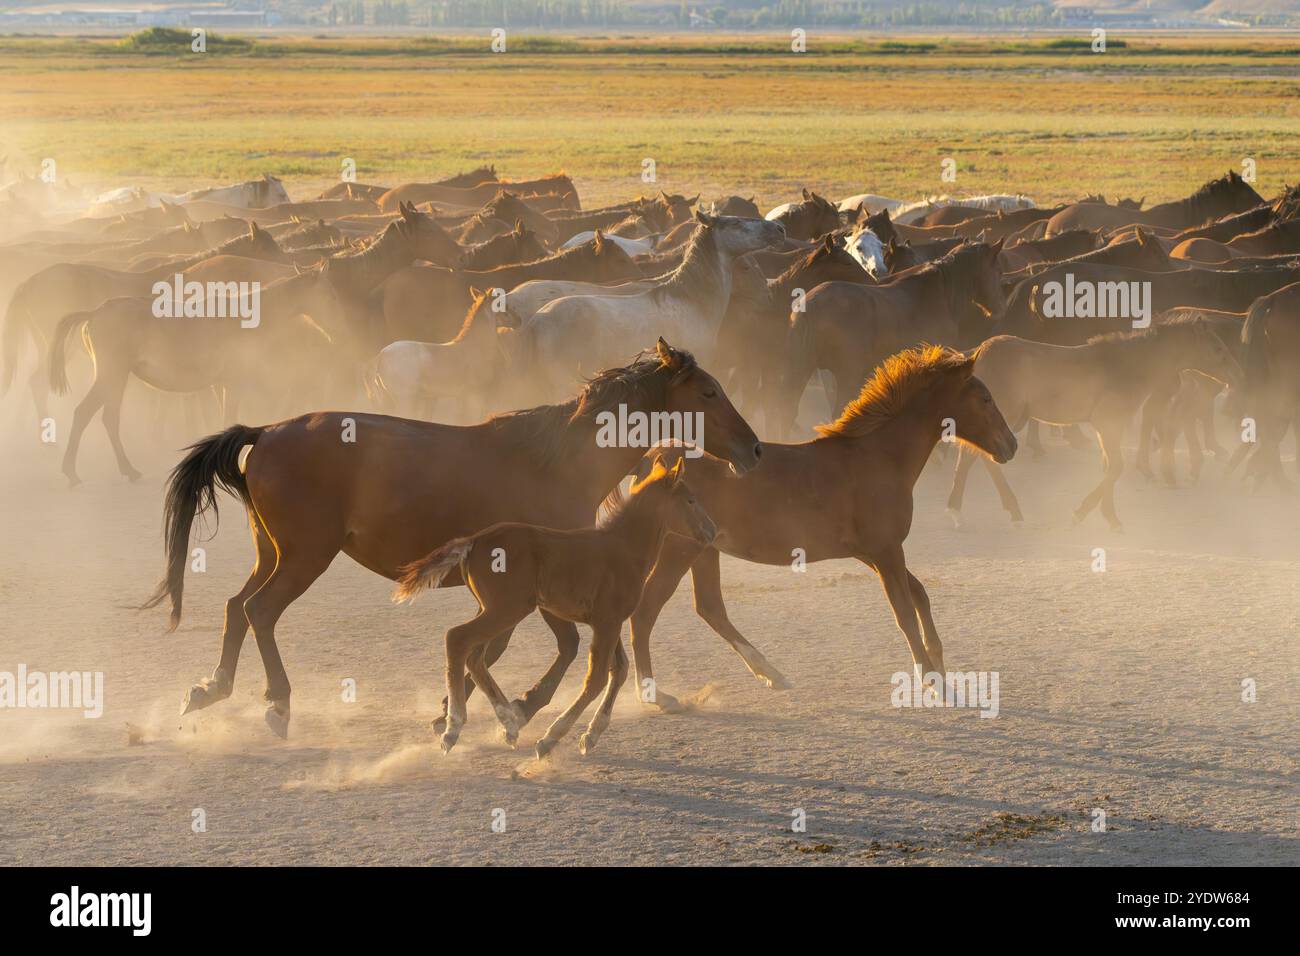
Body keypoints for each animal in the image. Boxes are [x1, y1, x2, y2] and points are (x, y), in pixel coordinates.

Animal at [395, 455, 722, 754]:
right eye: (691, 500)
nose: (712, 531)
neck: (623, 548)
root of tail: (474, 540)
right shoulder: (607, 622)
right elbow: (597, 678)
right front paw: (551, 738)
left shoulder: (608, 620)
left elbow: (620, 670)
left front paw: (591, 735)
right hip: (507, 608)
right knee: (458, 639)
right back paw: (453, 729)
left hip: (492, 608)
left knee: (475, 656)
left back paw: (508, 724)